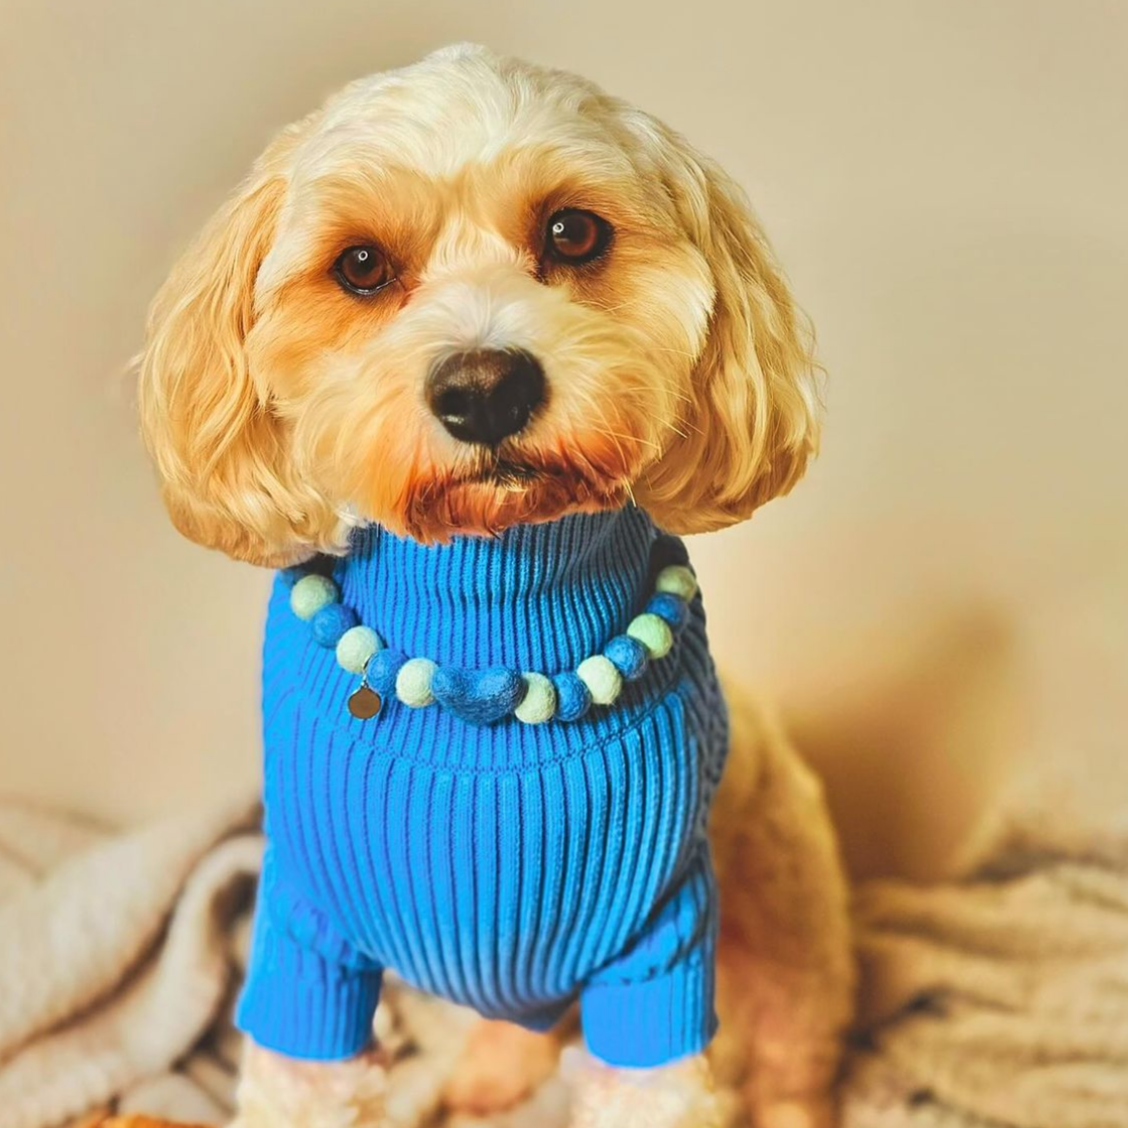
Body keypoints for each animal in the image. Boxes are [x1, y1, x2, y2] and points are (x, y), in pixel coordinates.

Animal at [136, 41, 848, 1128]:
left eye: (572, 231)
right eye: (359, 265)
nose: (484, 390)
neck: (488, 634)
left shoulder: (661, 953)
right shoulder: (304, 936)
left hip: (791, 939)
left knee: (786, 1073)